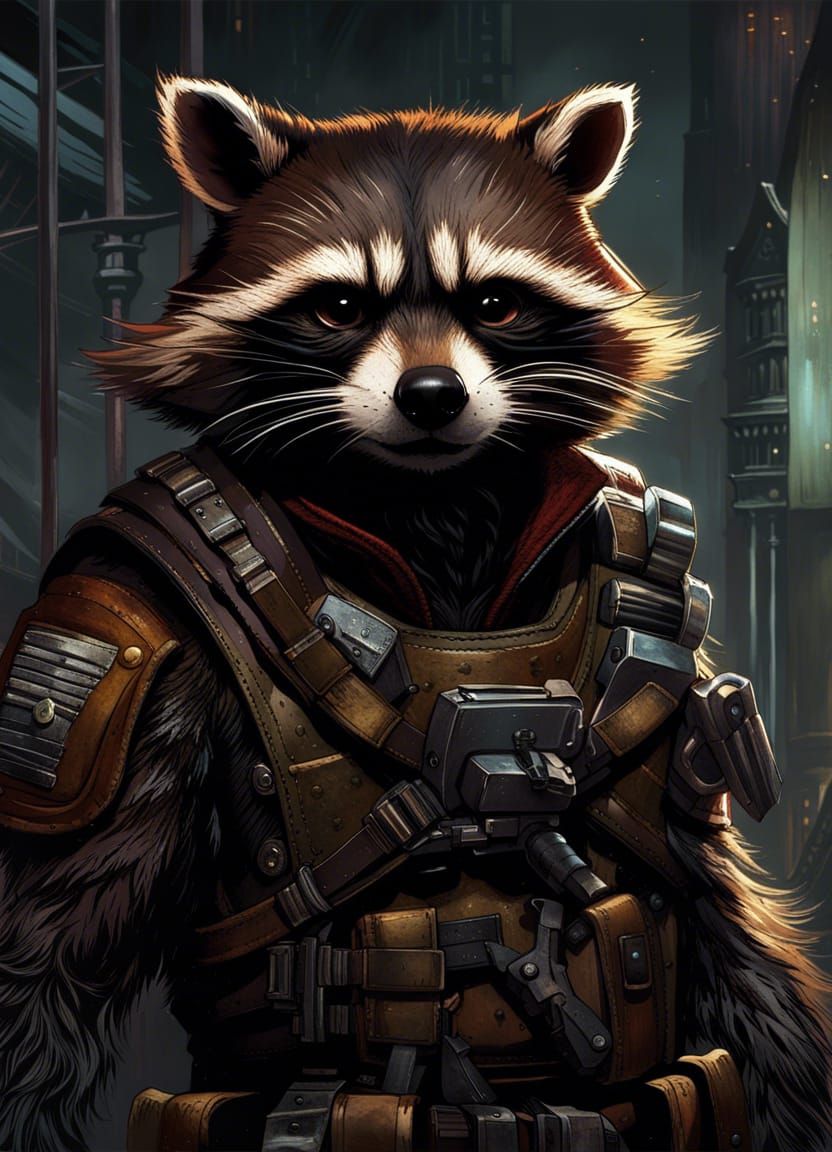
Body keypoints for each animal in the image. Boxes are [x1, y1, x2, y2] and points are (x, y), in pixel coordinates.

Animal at [0, 78, 829, 1152]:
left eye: (496, 302)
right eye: (340, 306)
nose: (431, 396)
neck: (435, 520)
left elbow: (712, 893)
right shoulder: (128, 607)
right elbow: (50, 955)